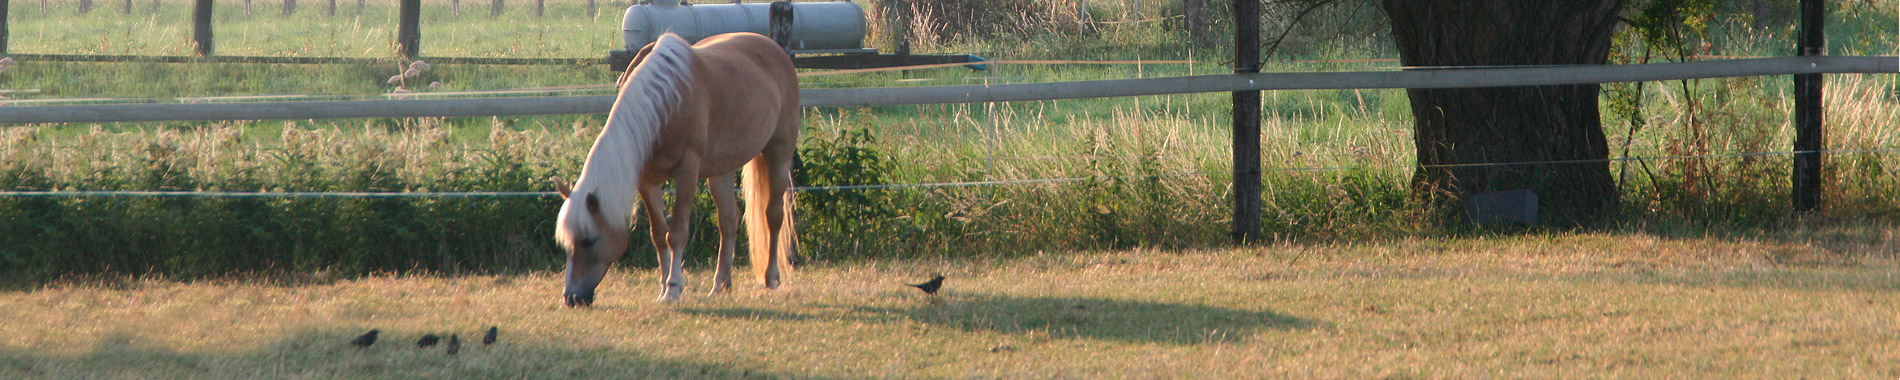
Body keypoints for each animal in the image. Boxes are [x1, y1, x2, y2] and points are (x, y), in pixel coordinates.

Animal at [554, 33, 798, 305]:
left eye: (588, 240)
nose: (572, 297)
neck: (665, 104)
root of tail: (774, 48)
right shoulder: (647, 180)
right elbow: (659, 234)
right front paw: (663, 287)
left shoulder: (687, 172)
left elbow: (677, 233)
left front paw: (673, 288)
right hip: (721, 170)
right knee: (728, 221)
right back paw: (721, 284)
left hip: (778, 154)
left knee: (773, 216)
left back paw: (771, 278)